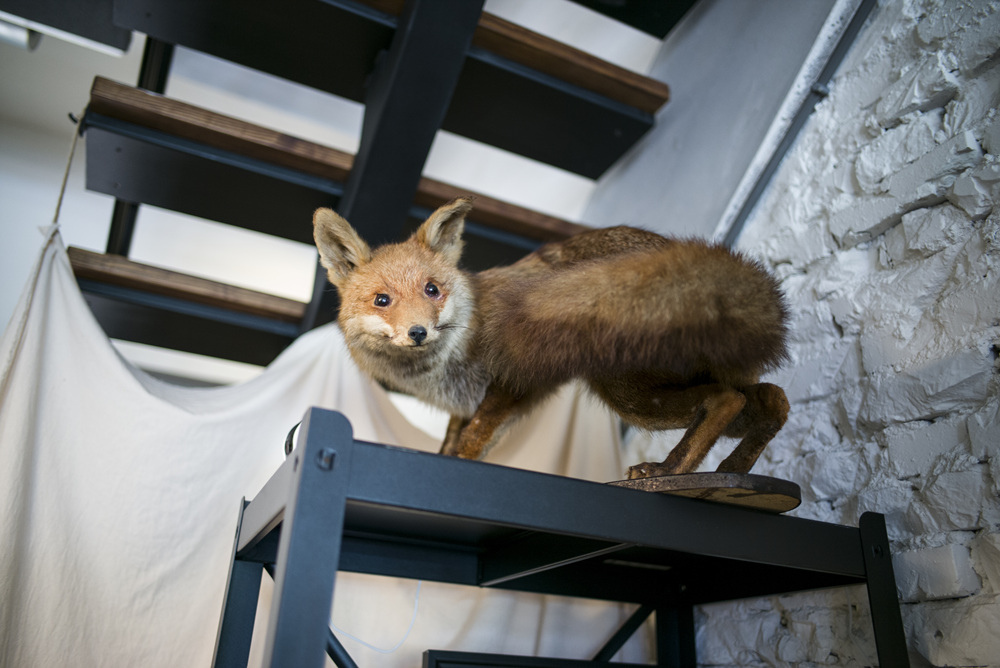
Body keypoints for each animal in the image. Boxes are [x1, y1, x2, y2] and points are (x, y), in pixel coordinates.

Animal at [312, 198, 788, 480]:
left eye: (432, 290)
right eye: (382, 300)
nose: (417, 332)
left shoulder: (512, 384)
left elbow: (472, 440)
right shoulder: (466, 402)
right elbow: (452, 439)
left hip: (626, 392)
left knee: (724, 399)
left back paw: (668, 470)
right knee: (770, 398)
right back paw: (735, 471)